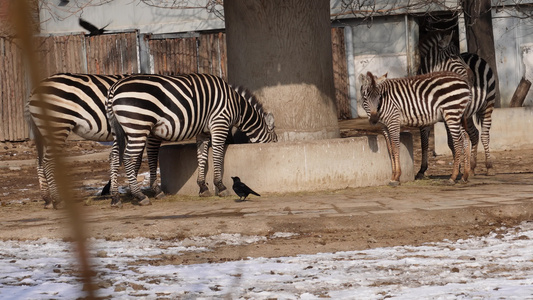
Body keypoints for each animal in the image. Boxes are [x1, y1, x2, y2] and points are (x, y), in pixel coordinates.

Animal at [27, 73, 131, 209]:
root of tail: (35, 89)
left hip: (43, 131)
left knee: (38, 161)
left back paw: (47, 199)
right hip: (58, 127)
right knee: (47, 162)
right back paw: (58, 200)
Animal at [105, 72, 276, 206]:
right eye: (275, 141)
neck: (237, 106)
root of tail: (114, 87)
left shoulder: (203, 131)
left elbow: (202, 156)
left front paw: (203, 187)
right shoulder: (219, 123)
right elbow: (217, 154)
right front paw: (220, 187)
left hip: (120, 129)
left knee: (114, 157)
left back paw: (115, 198)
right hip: (138, 126)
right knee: (128, 157)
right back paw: (140, 196)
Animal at [416, 32, 494, 178]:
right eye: (453, 57)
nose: (472, 78)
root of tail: (474, 54)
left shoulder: (450, 114)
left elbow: (453, 142)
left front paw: (458, 169)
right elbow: (425, 142)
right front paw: (421, 170)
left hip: (488, 103)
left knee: (485, 135)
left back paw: (489, 166)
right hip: (467, 114)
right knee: (474, 134)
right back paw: (472, 167)